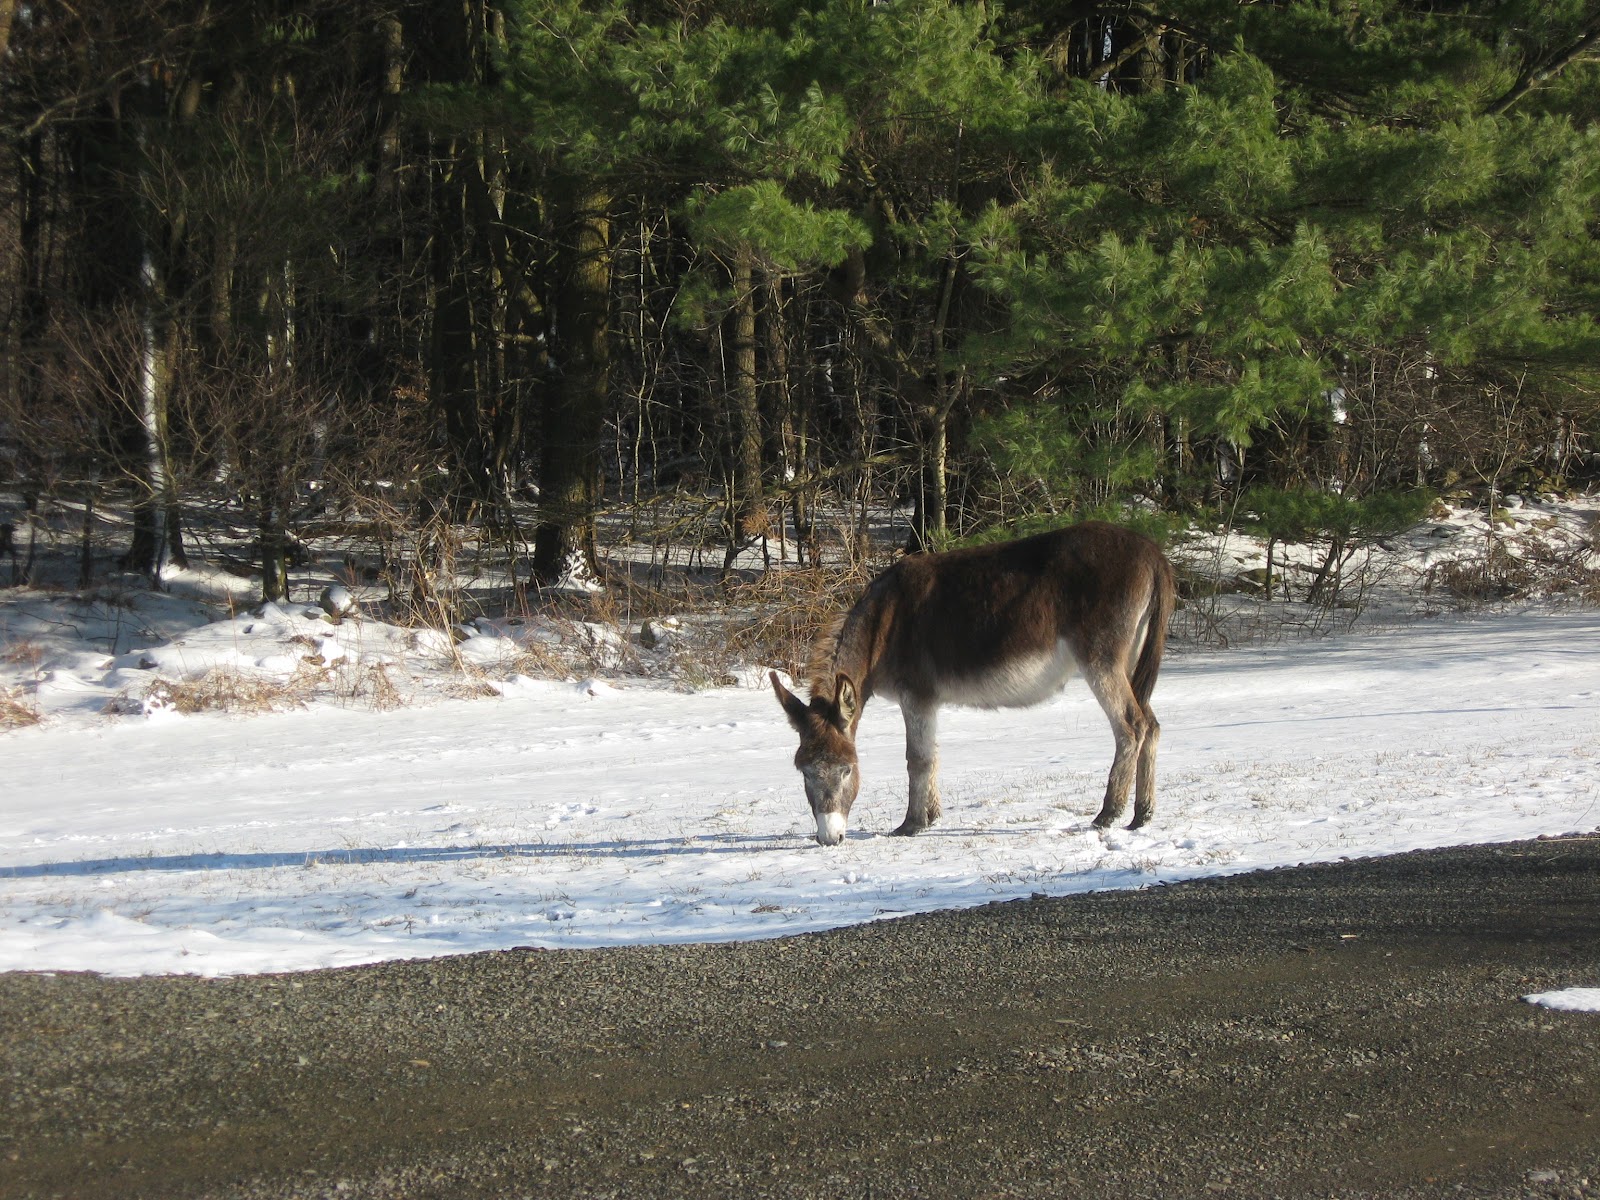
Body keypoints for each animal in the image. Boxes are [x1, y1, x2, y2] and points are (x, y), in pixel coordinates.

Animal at [771, 521, 1176, 845]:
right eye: (804, 772)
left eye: (847, 770)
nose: (829, 838)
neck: (880, 627)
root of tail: (1153, 552)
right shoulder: (927, 701)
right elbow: (932, 755)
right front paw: (932, 816)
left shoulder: (915, 696)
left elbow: (917, 759)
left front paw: (911, 825)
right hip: (1131, 659)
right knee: (1152, 725)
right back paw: (1142, 815)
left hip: (1101, 659)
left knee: (1131, 725)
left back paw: (1108, 814)